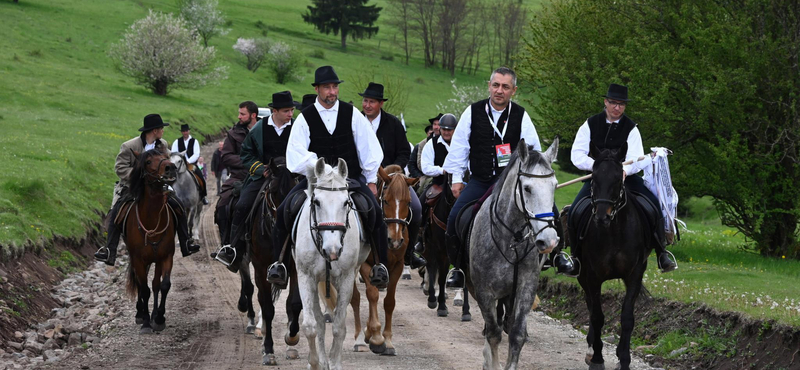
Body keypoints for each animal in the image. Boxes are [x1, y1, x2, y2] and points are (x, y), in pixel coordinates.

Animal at [123, 149, 178, 334]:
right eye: (147, 162)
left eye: (166, 156)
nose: (170, 167)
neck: (152, 221)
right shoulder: (138, 260)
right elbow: (144, 289)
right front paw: (146, 322)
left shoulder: (166, 256)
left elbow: (163, 285)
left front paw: (159, 318)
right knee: (141, 284)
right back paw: (140, 314)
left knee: (154, 284)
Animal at [292, 159, 370, 370]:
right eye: (317, 202)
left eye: (346, 202)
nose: (332, 250)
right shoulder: (305, 276)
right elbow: (311, 325)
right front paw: (315, 363)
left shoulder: (346, 278)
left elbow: (338, 326)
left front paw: (334, 363)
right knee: (318, 321)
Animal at [350, 165, 418, 356]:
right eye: (386, 201)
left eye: (408, 202)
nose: (394, 240)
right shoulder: (366, 265)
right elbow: (371, 295)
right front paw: (376, 337)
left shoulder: (397, 266)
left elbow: (389, 302)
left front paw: (387, 341)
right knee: (355, 297)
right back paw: (359, 339)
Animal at [468, 139, 556, 370]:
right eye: (527, 188)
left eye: (554, 186)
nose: (549, 241)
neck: (512, 241)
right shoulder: (484, 292)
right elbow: (493, 334)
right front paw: (492, 363)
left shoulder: (525, 289)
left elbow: (516, 334)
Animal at [580, 142, 652, 370]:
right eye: (594, 178)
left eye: (618, 179)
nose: (602, 217)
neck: (614, 232)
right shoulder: (592, 276)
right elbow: (597, 316)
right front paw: (597, 358)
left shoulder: (635, 274)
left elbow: (627, 318)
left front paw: (624, 359)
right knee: (590, 306)